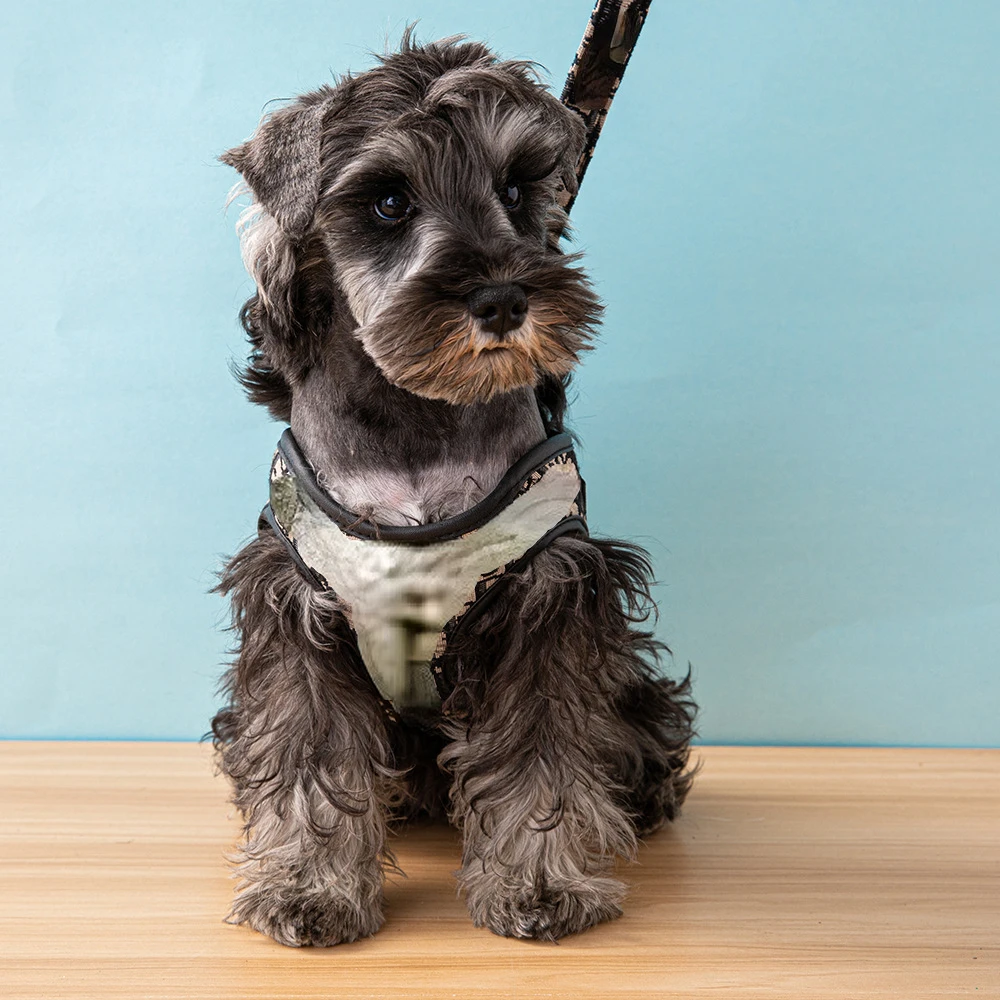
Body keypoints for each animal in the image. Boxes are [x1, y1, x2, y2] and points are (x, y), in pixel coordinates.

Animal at [211, 33, 696, 944]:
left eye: (515, 187)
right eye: (388, 201)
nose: (503, 298)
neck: (418, 423)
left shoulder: (547, 594)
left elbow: (543, 757)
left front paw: (539, 886)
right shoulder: (295, 603)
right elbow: (310, 753)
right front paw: (308, 889)